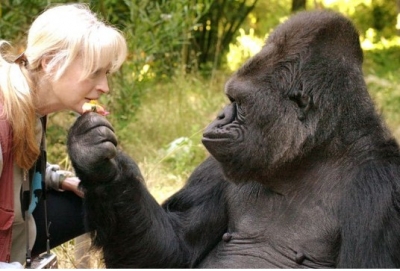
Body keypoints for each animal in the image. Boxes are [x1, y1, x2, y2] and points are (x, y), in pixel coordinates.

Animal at [67, 9, 400, 268]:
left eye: (238, 102)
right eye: (230, 99)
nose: (220, 116)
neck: (312, 154)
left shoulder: (382, 191)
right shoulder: (217, 165)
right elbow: (173, 250)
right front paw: (97, 163)